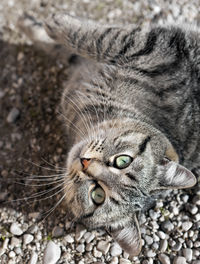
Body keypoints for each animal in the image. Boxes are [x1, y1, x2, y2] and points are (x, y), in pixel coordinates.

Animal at [18, 12, 198, 256]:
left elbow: (98, 38)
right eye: (123, 161)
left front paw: (51, 23)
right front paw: (37, 25)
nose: (85, 163)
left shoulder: (151, 47)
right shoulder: (158, 49)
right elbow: (89, 40)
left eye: (97, 195)